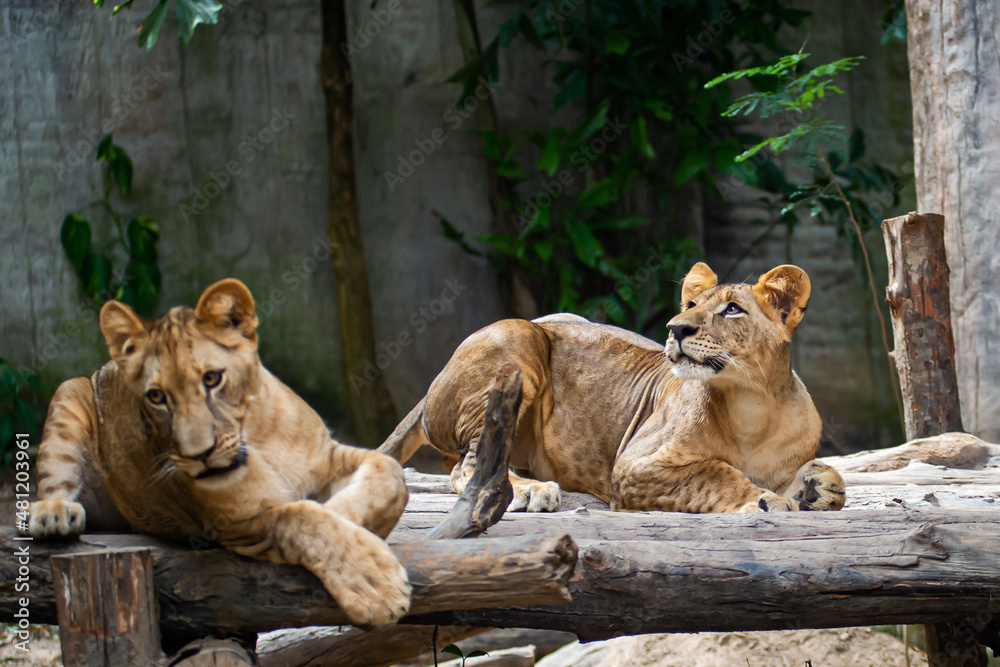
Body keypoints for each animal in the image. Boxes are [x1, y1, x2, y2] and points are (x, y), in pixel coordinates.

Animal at [27, 279, 411, 626]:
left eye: (212, 379)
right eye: (156, 396)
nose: (200, 453)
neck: (258, 438)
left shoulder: (328, 458)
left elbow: (390, 471)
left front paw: (348, 516)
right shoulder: (236, 525)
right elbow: (300, 519)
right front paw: (375, 586)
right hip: (70, 392)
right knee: (54, 480)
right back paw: (54, 515)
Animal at [380, 262, 845, 514]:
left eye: (732, 310)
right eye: (691, 306)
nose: (675, 328)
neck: (753, 407)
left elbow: (826, 474)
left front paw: (816, 488)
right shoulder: (634, 466)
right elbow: (715, 472)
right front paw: (768, 499)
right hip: (517, 336)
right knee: (467, 465)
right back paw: (529, 491)